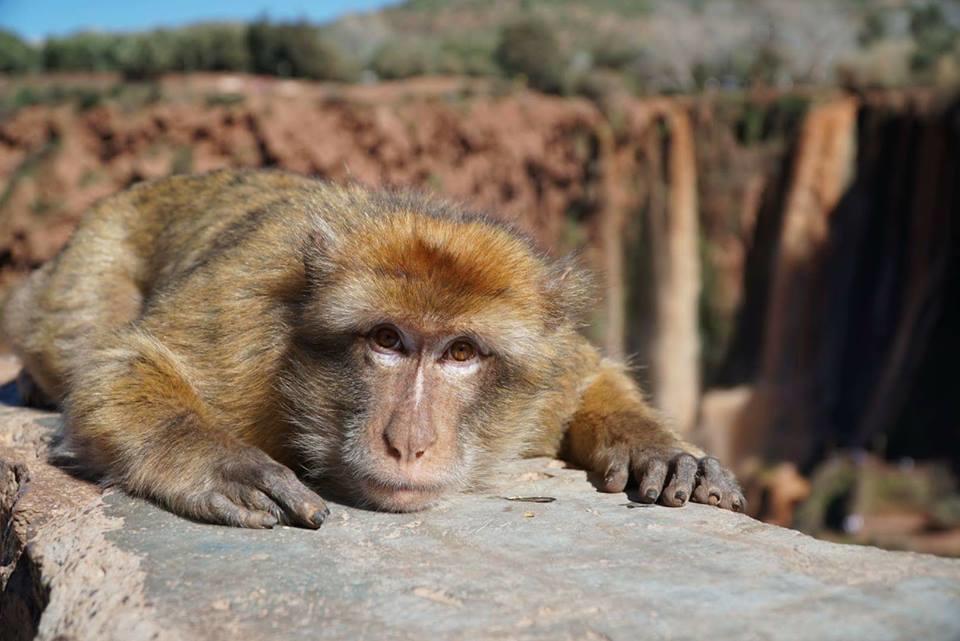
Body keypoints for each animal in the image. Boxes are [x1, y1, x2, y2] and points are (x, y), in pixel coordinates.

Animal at [0, 168, 748, 528]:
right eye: (387, 340)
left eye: (461, 353)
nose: (408, 441)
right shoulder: (244, 320)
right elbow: (121, 365)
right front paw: (220, 462)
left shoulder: (552, 352)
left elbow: (588, 375)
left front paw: (659, 446)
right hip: (81, 264)